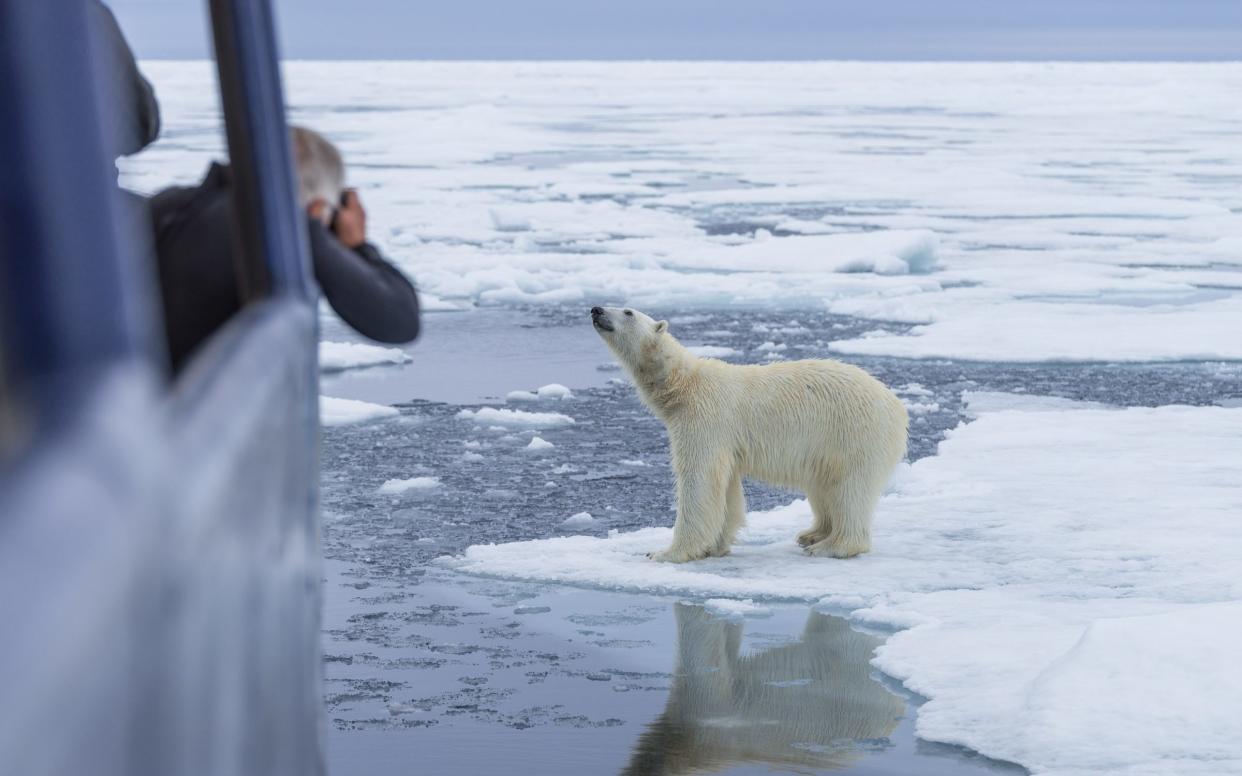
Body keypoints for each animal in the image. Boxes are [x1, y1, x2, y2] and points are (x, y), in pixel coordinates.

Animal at [586, 304, 909, 563]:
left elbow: (698, 480)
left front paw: (666, 553)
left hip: (854, 432)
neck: (684, 384)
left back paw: (831, 546)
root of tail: (897, 407)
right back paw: (813, 534)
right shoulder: (722, 438)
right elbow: (726, 488)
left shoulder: (705, 419)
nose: (596, 309)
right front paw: (715, 546)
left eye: (628, 312)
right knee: (823, 485)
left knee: (850, 488)